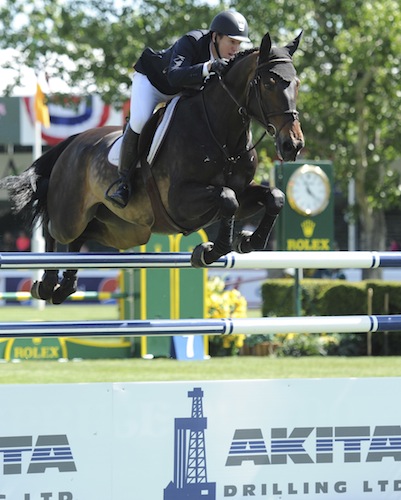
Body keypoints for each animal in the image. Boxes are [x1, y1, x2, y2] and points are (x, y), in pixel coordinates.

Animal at [0, 33, 304, 304]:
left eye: (298, 84)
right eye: (269, 83)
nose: (293, 145)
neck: (222, 134)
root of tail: (74, 141)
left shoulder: (241, 195)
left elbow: (274, 197)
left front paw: (248, 241)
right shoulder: (180, 201)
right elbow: (227, 198)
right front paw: (208, 252)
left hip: (119, 228)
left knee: (79, 239)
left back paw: (65, 287)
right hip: (71, 213)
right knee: (54, 229)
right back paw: (46, 284)